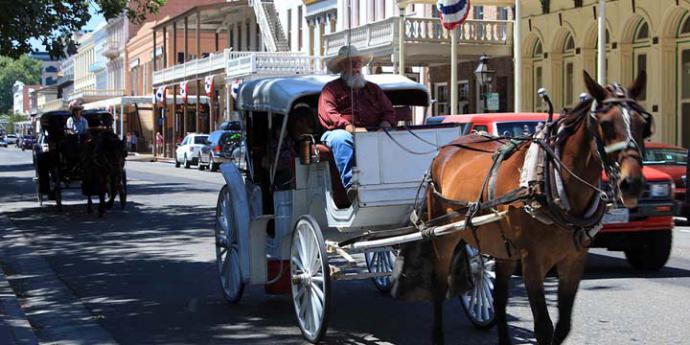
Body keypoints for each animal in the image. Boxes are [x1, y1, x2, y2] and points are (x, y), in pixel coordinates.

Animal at [392, 70, 652, 344]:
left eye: (644, 124)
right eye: (606, 124)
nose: (632, 184)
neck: (549, 180)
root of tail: (447, 148)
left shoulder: (574, 260)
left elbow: (563, 326)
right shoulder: (532, 261)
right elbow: (543, 327)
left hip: (501, 246)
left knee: (499, 297)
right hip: (444, 236)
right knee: (440, 288)